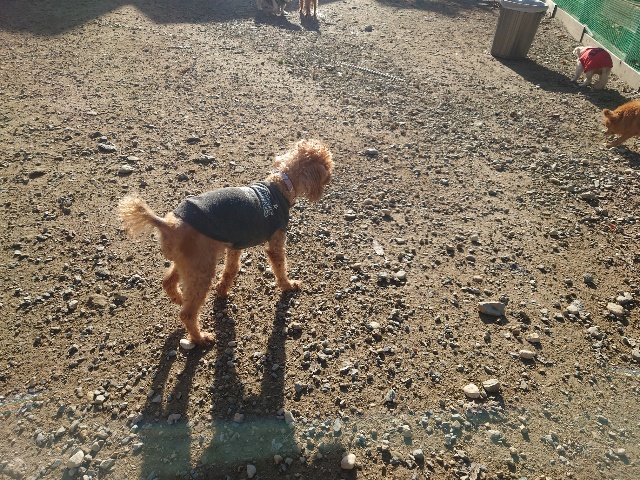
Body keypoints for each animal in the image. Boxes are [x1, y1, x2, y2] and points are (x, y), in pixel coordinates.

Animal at [119, 140, 334, 347]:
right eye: (329, 167)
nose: (331, 178)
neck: (282, 185)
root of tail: (169, 225)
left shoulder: (235, 244)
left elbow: (231, 269)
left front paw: (222, 290)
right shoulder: (275, 241)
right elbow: (280, 266)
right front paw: (288, 285)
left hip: (188, 264)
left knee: (168, 282)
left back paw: (180, 298)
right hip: (201, 269)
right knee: (187, 314)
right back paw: (200, 339)